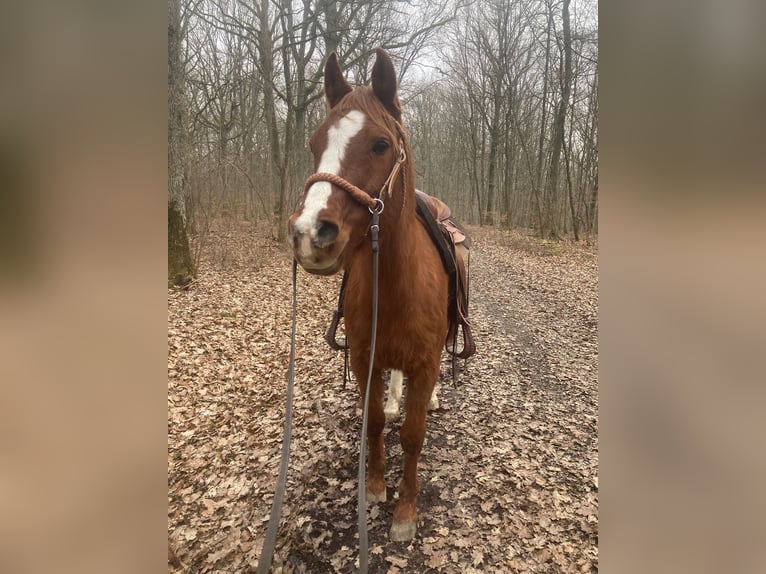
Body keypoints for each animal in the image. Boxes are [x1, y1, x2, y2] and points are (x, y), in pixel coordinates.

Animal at [290, 49, 462, 544]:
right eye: (314, 143)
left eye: (380, 145)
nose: (310, 232)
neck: (397, 280)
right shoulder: (365, 358)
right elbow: (376, 423)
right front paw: (376, 486)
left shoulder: (424, 364)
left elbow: (413, 434)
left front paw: (405, 511)